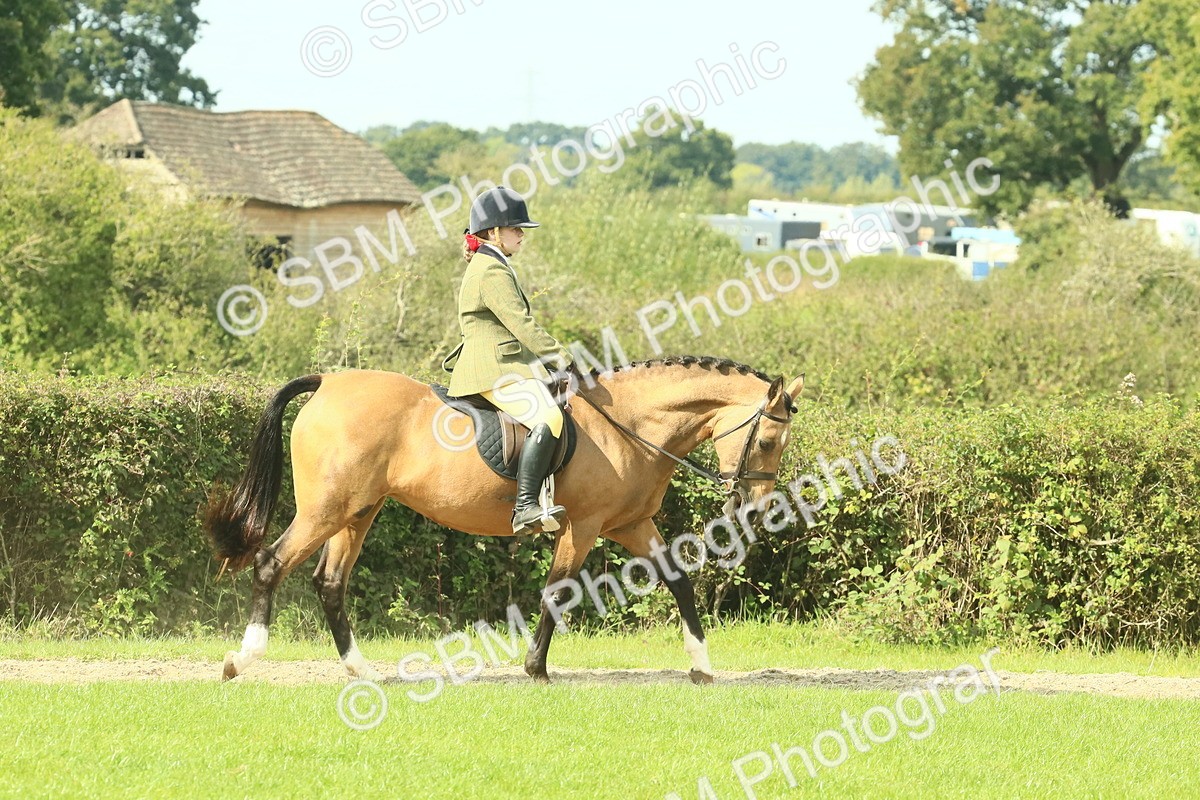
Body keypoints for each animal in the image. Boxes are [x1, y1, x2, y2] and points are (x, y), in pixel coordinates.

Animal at [206, 356, 804, 684]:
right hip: (326, 510)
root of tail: (327, 382)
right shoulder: (584, 526)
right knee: (271, 563)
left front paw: (702, 665)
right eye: (768, 441)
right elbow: (558, 591)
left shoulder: (630, 525)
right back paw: (243, 659)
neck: (630, 425)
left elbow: (678, 581)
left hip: (357, 513)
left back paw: (361, 670)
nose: (753, 508)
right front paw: (535, 668)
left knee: (330, 582)